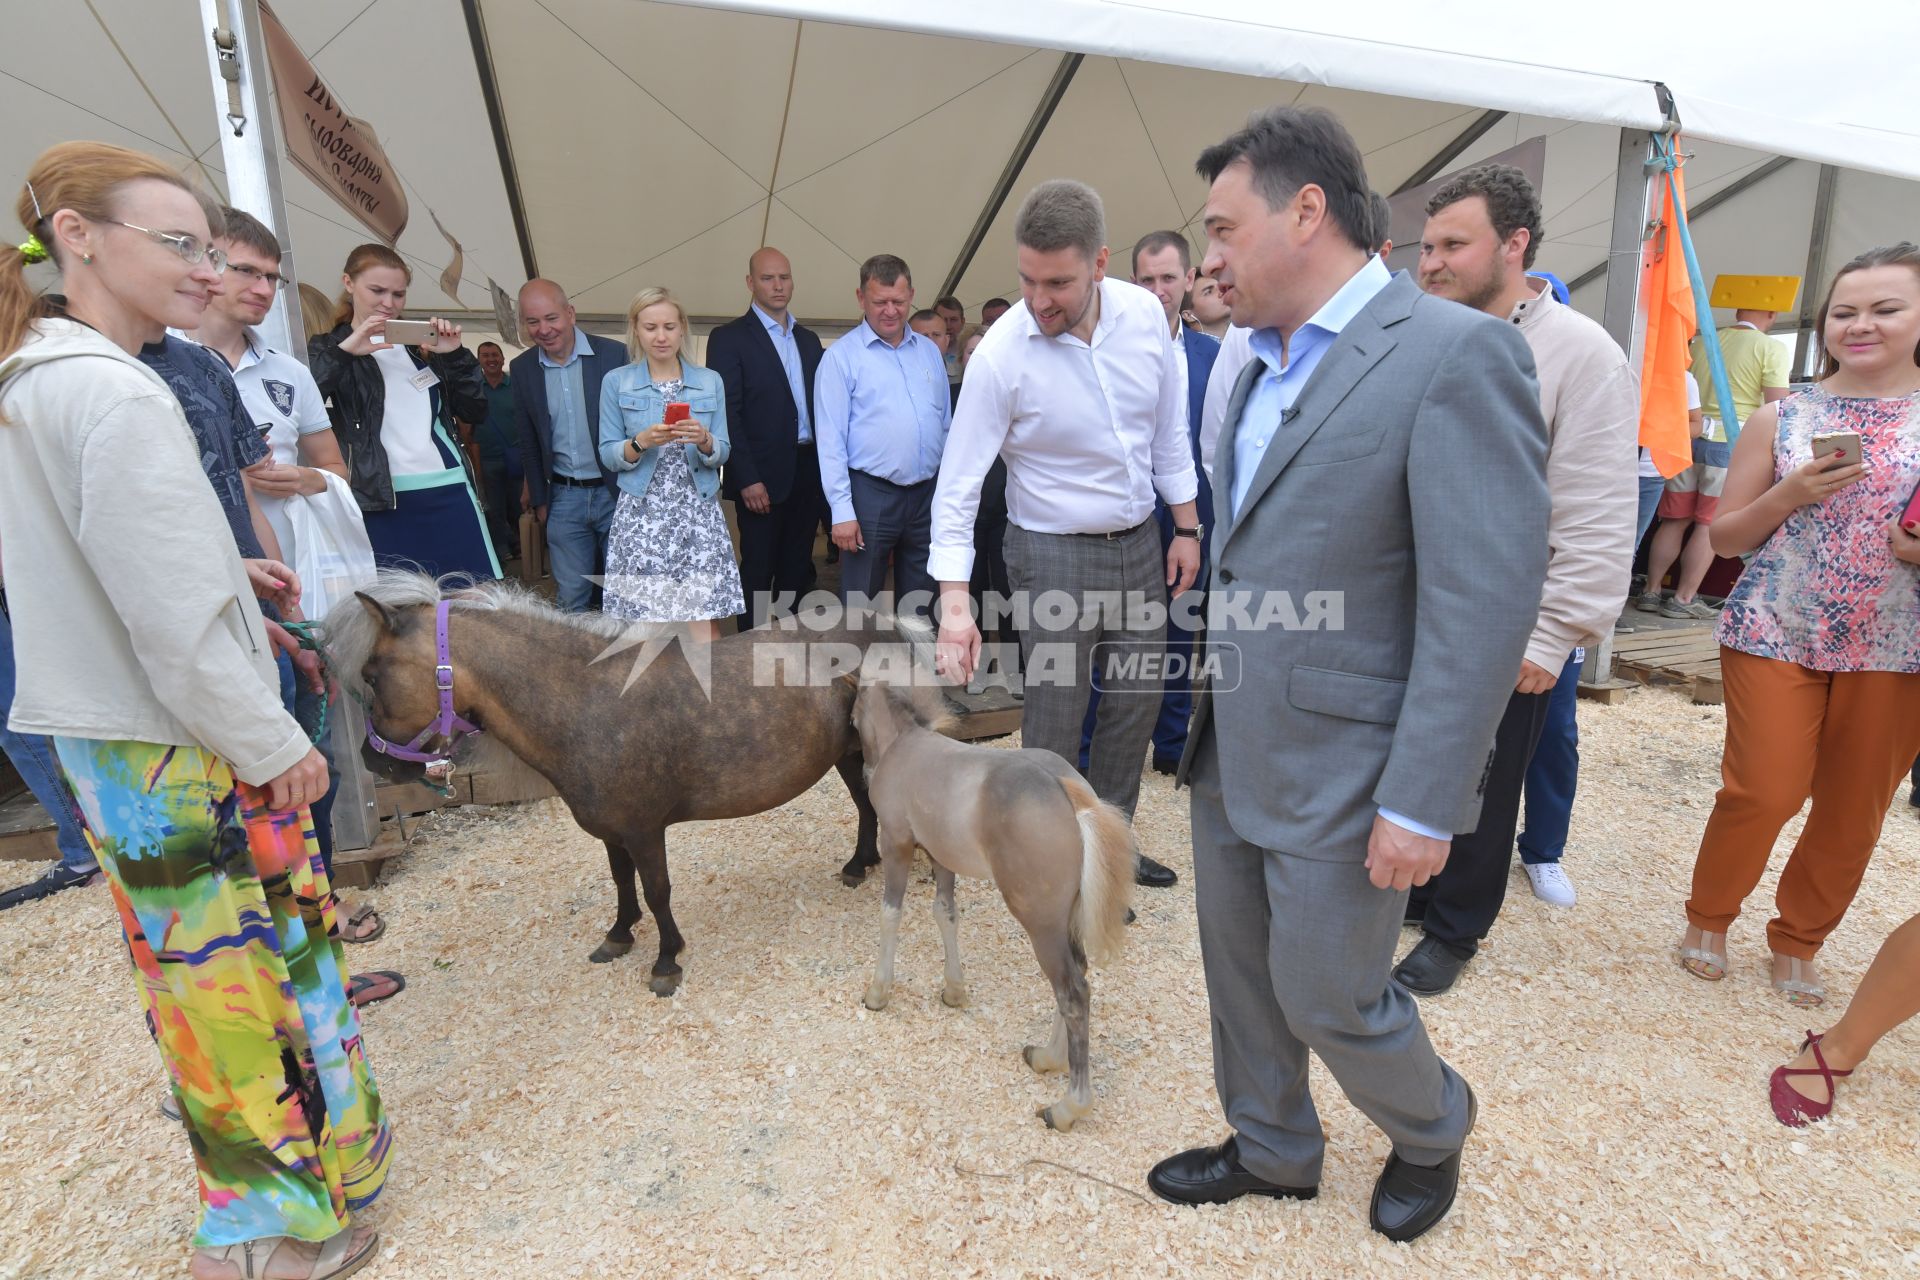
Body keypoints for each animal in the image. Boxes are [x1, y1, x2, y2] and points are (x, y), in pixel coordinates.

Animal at [848, 679, 1128, 1128]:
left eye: (853, 714)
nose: (864, 773)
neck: (904, 745)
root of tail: (1071, 793)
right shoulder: (940, 856)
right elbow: (945, 914)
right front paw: (953, 991)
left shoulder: (896, 844)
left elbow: (891, 914)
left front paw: (878, 993)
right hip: (1065, 921)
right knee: (1078, 975)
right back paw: (1047, 1057)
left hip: (1041, 924)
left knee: (1073, 992)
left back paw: (1067, 1107)